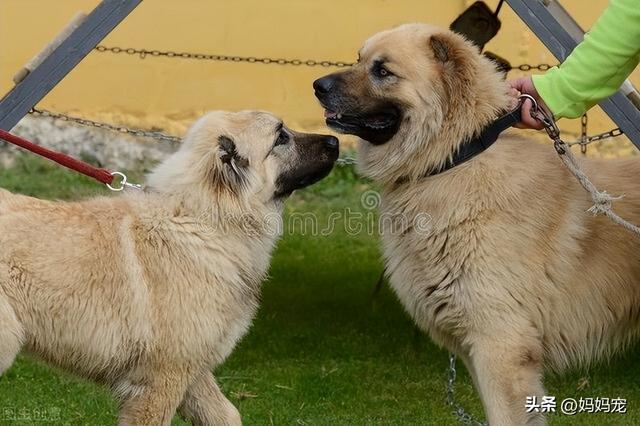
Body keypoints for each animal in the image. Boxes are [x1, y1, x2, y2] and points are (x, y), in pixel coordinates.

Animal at [0, 110, 340, 426]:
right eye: (280, 137)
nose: (335, 141)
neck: (204, 220)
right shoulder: (162, 378)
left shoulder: (193, 371)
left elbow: (226, 415)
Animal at [314, 23, 640, 426]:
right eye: (359, 59)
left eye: (383, 71)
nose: (317, 85)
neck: (453, 160)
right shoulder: (476, 350)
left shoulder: (500, 345)